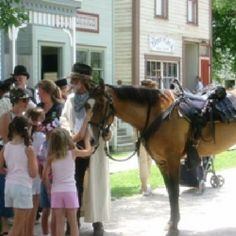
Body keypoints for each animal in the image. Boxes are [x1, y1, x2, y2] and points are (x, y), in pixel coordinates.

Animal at [86, 83, 236, 234]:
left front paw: (174, 227)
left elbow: (174, 191)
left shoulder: (173, 159)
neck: (157, 114)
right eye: (87, 106)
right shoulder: (161, 162)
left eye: (100, 104)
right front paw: (171, 222)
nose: (91, 140)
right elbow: (169, 191)